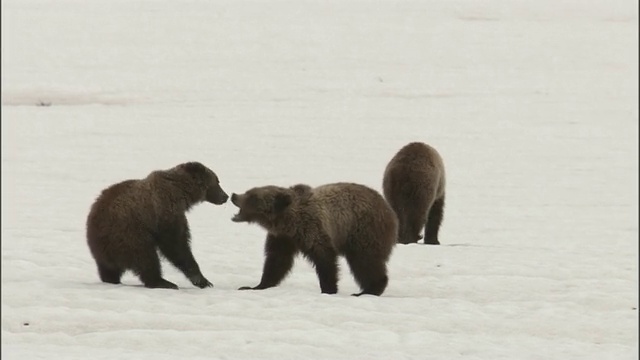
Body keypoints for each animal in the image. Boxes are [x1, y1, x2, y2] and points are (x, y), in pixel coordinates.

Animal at [85, 162, 228, 290]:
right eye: (217, 181)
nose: (225, 196)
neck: (181, 192)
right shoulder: (166, 211)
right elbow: (176, 245)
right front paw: (203, 280)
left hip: (105, 249)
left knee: (109, 269)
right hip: (128, 235)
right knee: (146, 257)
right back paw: (163, 282)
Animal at [230, 183, 400, 296]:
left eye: (252, 196)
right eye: (249, 191)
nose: (234, 195)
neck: (288, 223)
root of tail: (389, 210)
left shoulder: (313, 230)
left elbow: (325, 259)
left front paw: (328, 289)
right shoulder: (283, 238)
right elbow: (276, 261)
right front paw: (255, 286)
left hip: (363, 231)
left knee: (365, 261)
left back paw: (369, 290)